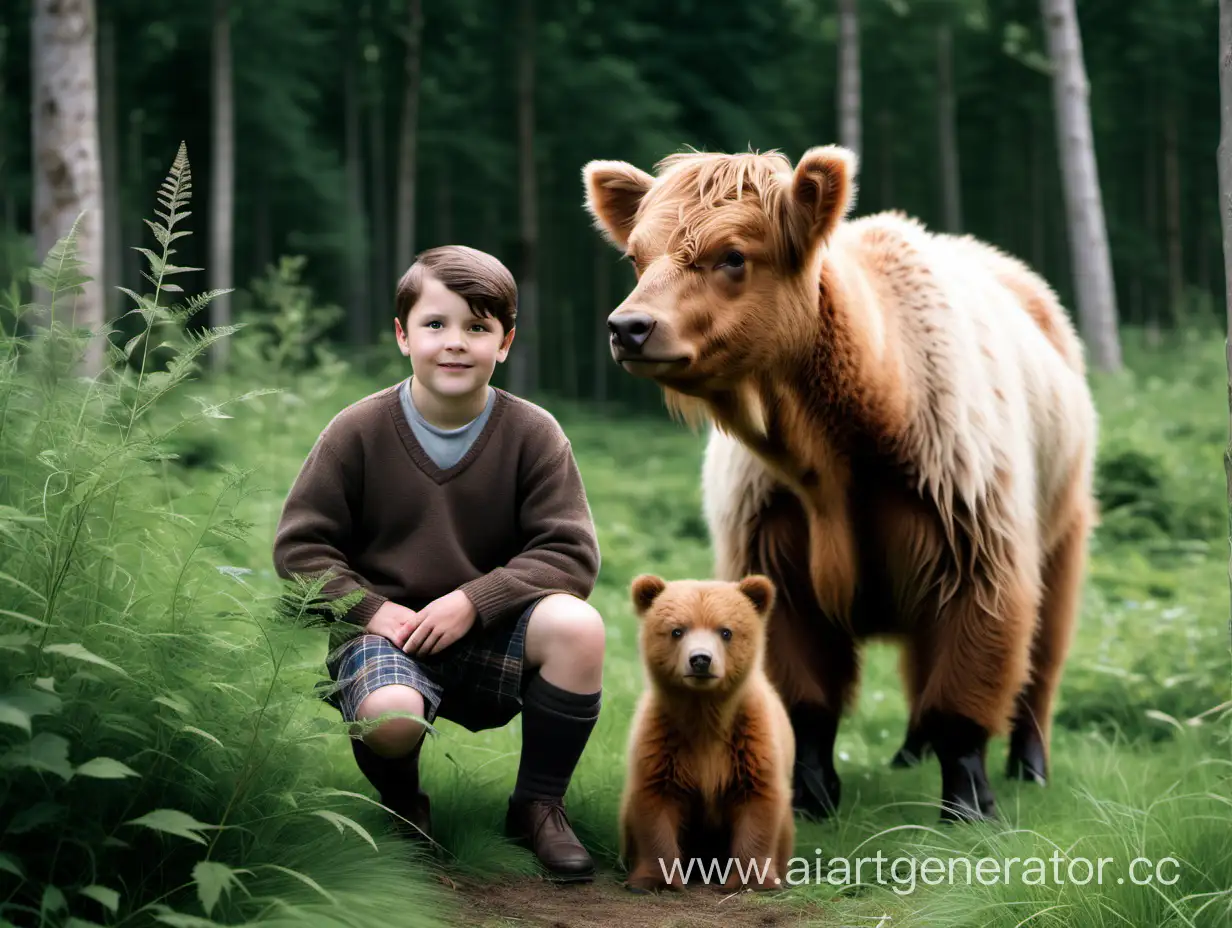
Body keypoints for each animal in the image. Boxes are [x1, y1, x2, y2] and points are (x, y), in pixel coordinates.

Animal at [583, 148, 1098, 823]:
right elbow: (803, 690)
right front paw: (809, 793)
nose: (629, 327)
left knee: (1044, 650)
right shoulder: (771, 534)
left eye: (733, 256)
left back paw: (1028, 763)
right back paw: (910, 750)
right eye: (637, 256)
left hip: (1062, 517)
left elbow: (970, 673)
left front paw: (968, 802)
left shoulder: (975, 536)